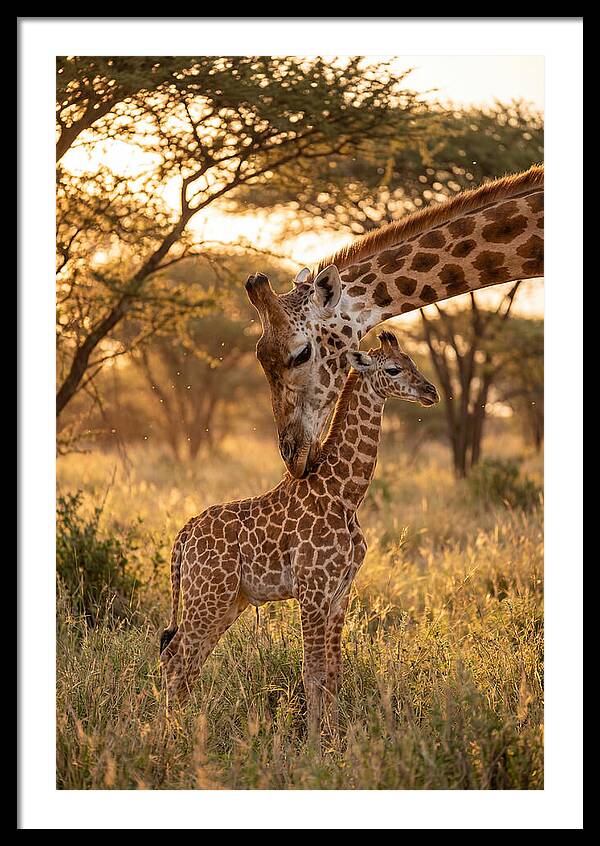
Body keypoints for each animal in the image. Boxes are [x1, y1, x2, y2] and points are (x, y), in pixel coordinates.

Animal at [160, 330, 439, 739]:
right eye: (393, 368)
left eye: (413, 362)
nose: (430, 392)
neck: (344, 493)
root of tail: (184, 535)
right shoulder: (312, 589)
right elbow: (312, 671)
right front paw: (313, 743)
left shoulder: (340, 593)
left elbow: (334, 672)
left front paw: (335, 738)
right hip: (208, 595)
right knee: (175, 656)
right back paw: (170, 736)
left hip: (227, 600)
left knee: (188, 659)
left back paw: (185, 729)